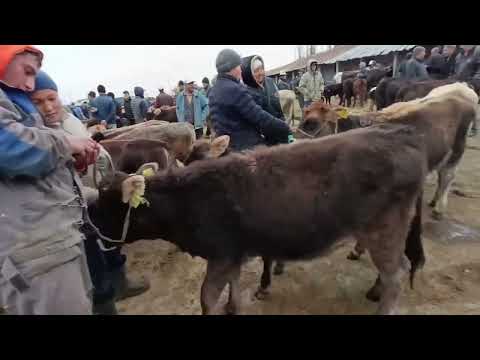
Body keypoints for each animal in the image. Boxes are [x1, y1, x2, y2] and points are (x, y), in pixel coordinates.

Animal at [89, 124, 428, 316]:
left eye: (108, 206)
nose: (88, 227)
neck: (190, 198)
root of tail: (401, 139)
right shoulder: (233, 254)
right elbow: (235, 286)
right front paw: (234, 306)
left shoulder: (222, 255)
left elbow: (207, 298)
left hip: (383, 229)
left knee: (397, 274)